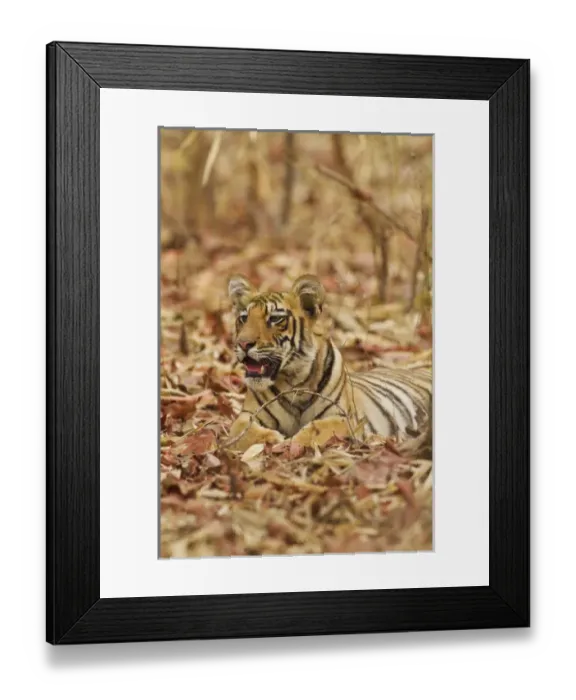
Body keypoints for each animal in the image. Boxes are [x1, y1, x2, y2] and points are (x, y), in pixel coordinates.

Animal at [226, 273, 432, 452]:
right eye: (243, 318)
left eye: (275, 319)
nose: (242, 344)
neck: (294, 381)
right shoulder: (247, 415)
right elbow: (243, 432)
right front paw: (271, 439)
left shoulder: (345, 417)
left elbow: (318, 429)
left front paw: (291, 442)